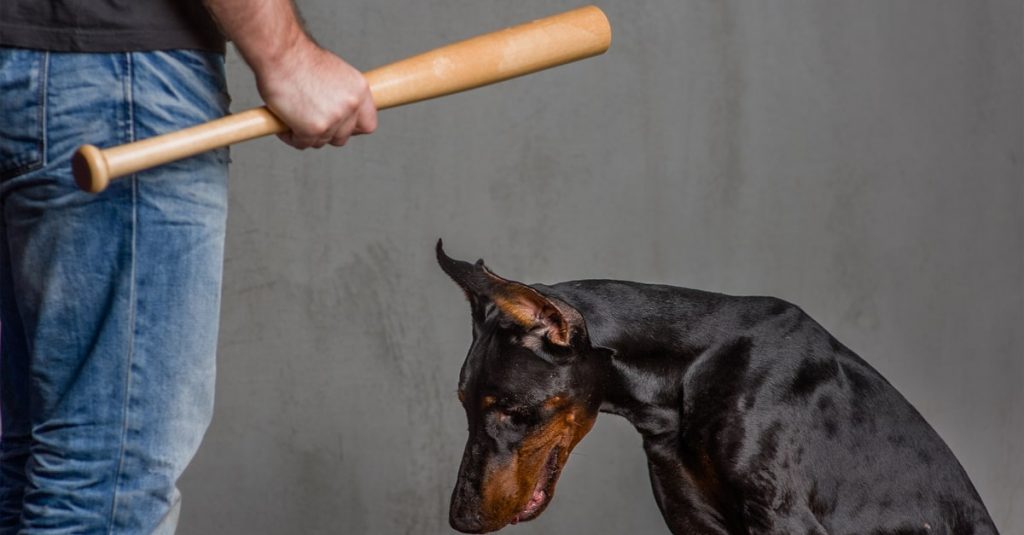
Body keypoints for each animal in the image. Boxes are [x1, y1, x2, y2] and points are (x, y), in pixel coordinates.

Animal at [436, 241, 995, 532]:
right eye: (463, 405)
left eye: (513, 411)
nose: (461, 518)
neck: (684, 378)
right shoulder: (695, 520)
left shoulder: (783, 517)